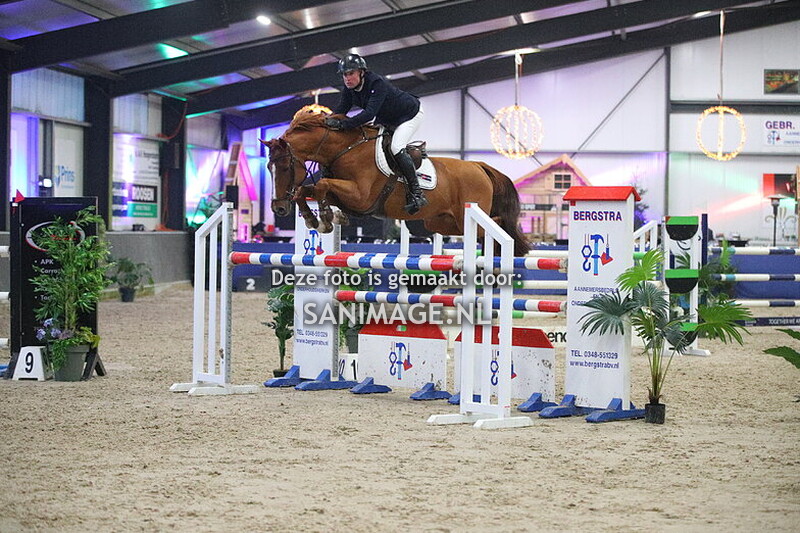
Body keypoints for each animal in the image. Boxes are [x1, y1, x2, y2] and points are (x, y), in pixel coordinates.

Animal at [261, 110, 529, 256]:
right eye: (268, 168)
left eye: (284, 167)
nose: (278, 209)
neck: (345, 149)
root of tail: (479, 166)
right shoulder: (350, 197)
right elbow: (307, 190)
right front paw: (315, 218)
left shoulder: (361, 197)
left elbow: (322, 185)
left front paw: (326, 218)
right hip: (442, 222)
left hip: (469, 215)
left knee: (496, 225)